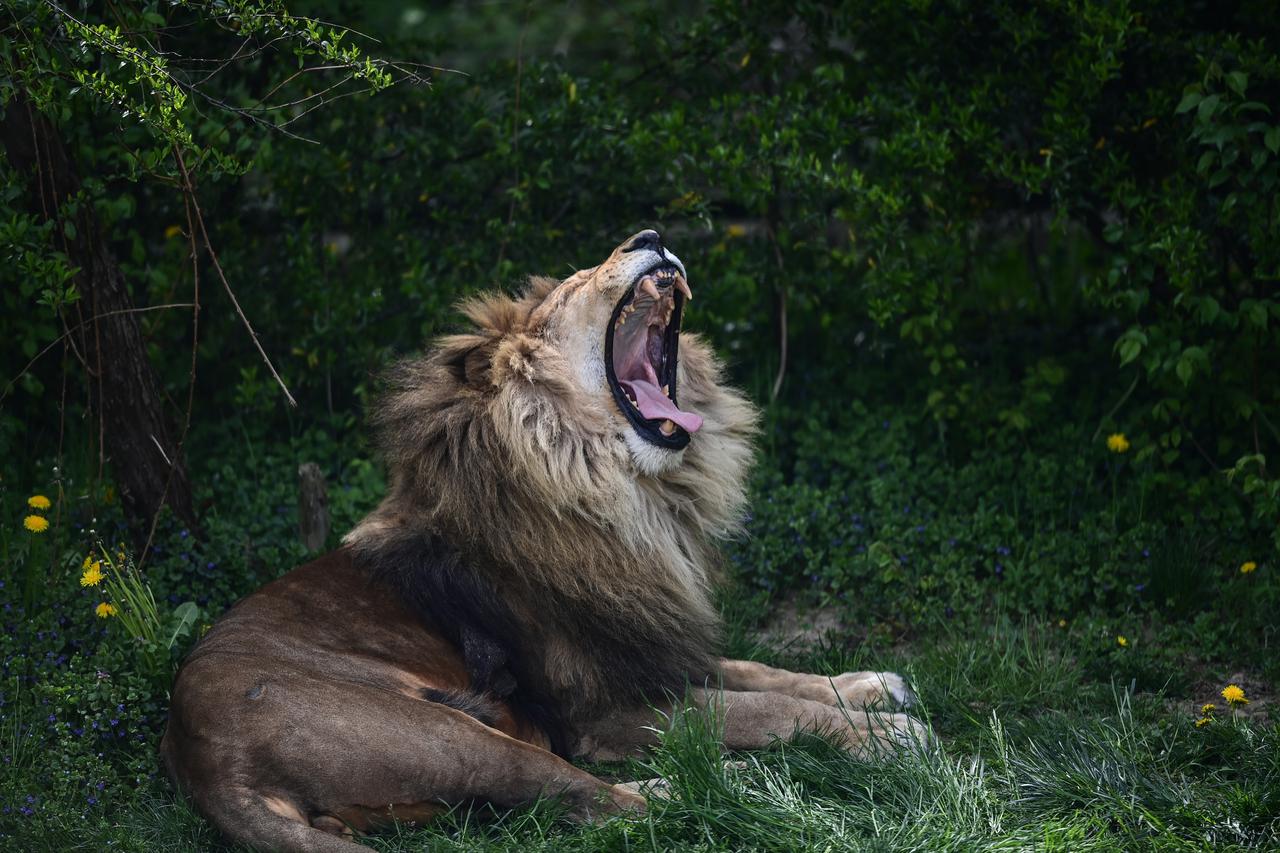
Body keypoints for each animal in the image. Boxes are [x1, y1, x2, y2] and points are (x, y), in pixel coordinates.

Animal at [162, 229, 931, 845]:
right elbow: (755, 707)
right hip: (449, 733)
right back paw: (715, 786)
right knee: (592, 794)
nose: (651, 234)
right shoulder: (604, 707)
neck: (636, 502)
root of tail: (200, 759)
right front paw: (883, 736)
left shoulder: (650, 644)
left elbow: (760, 672)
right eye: (576, 282)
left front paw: (868, 684)